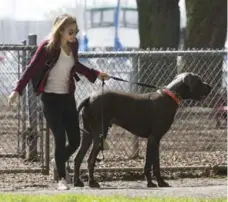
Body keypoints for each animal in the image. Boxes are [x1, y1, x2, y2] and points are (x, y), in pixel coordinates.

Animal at [73, 72, 212, 188]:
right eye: (199, 81)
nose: (210, 87)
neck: (169, 97)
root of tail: (89, 97)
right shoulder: (153, 138)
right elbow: (150, 164)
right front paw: (153, 183)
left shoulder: (155, 140)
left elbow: (154, 163)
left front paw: (158, 182)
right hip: (100, 134)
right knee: (90, 160)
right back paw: (92, 182)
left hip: (88, 134)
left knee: (78, 158)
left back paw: (77, 182)